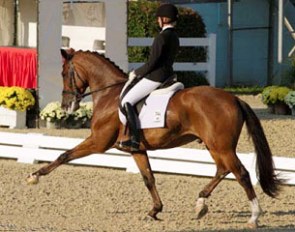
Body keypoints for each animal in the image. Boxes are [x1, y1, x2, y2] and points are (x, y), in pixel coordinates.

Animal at [27, 49, 282, 228]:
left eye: (64, 73)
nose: (66, 106)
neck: (109, 94)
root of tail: (234, 98)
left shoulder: (98, 142)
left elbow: (64, 155)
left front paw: (34, 176)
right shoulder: (137, 149)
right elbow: (148, 178)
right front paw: (154, 211)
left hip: (221, 146)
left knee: (241, 174)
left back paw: (254, 217)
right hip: (215, 146)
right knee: (223, 169)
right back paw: (200, 204)